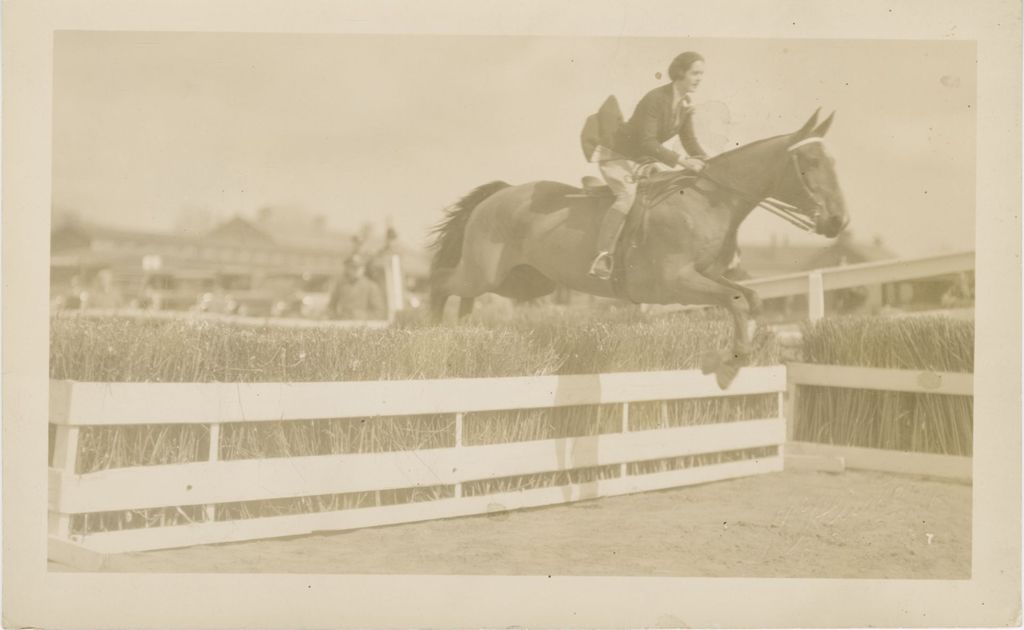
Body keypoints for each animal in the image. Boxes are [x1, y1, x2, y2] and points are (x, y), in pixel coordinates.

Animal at [423, 110, 847, 387]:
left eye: (833, 160)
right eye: (810, 161)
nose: (839, 221)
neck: (708, 200)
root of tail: (498, 194)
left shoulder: (706, 278)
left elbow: (751, 298)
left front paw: (741, 352)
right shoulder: (676, 283)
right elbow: (739, 300)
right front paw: (727, 365)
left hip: (526, 281)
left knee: (463, 295)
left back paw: (460, 331)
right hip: (484, 272)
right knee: (440, 281)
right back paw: (430, 333)